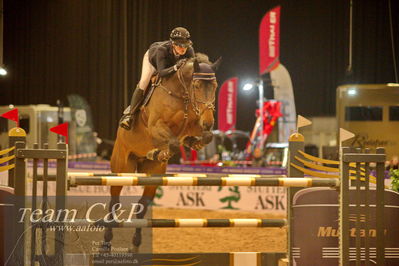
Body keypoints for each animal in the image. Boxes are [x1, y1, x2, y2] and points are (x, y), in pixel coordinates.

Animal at [103, 54, 222, 251]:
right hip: (122, 168)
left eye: (215, 86)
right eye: (197, 85)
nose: (208, 122)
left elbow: (206, 136)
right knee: (114, 202)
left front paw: (190, 143)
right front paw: (162, 152)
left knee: (142, 207)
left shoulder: (193, 126)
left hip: (153, 175)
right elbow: (173, 142)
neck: (181, 93)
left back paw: (136, 243)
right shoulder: (156, 126)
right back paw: (106, 241)